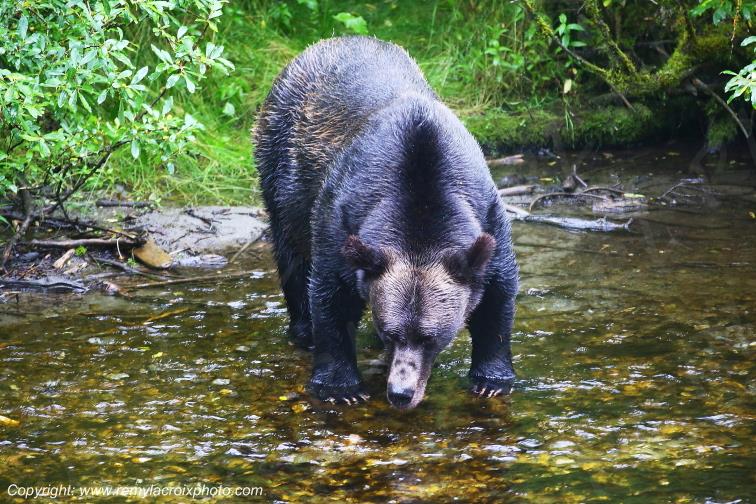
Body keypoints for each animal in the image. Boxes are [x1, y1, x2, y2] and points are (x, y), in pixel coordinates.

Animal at [254, 36, 518, 409]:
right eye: (391, 331)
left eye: (430, 337)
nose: (401, 393)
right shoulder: (341, 217)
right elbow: (330, 294)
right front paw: (340, 386)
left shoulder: (486, 217)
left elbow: (497, 293)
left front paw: (491, 379)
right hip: (281, 163)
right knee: (291, 252)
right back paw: (303, 330)